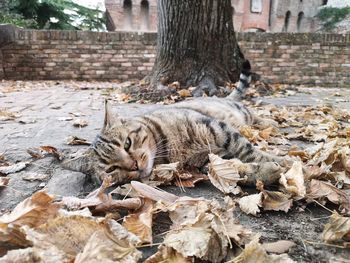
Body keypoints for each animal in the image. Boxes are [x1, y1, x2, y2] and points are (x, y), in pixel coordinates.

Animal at [64, 61, 288, 186]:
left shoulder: (217, 129)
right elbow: (233, 168)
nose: (134, 166)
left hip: (240, 112)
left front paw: (286, 162)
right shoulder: (208, 159)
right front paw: (264, 173)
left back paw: (269, 122)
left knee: (254, 116)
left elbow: (249, 151)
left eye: (127, 143)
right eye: (111, 169)